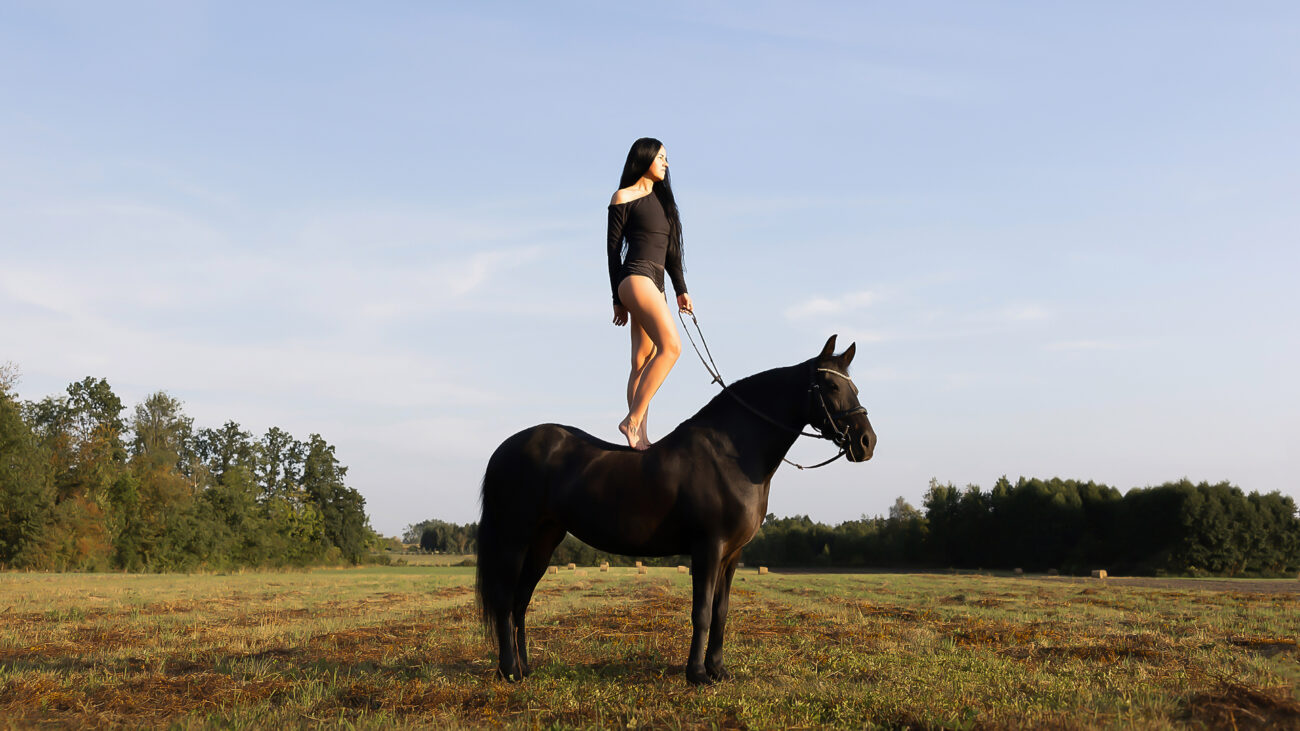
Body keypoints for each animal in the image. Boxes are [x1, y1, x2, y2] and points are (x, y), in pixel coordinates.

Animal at [474, 334, 876, 685]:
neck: (731, 452)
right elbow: (701, 612)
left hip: (545, 540)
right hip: (514, 539)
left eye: (855, 388)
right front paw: (696, 674)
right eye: (830, 386)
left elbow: (721, 612)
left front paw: (718, 670)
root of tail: (504, 449)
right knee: (506, 600)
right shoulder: (708, 548)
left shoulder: (731, 555)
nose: (866, 442)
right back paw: (509, 671)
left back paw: (525, 668)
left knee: (521, 602)